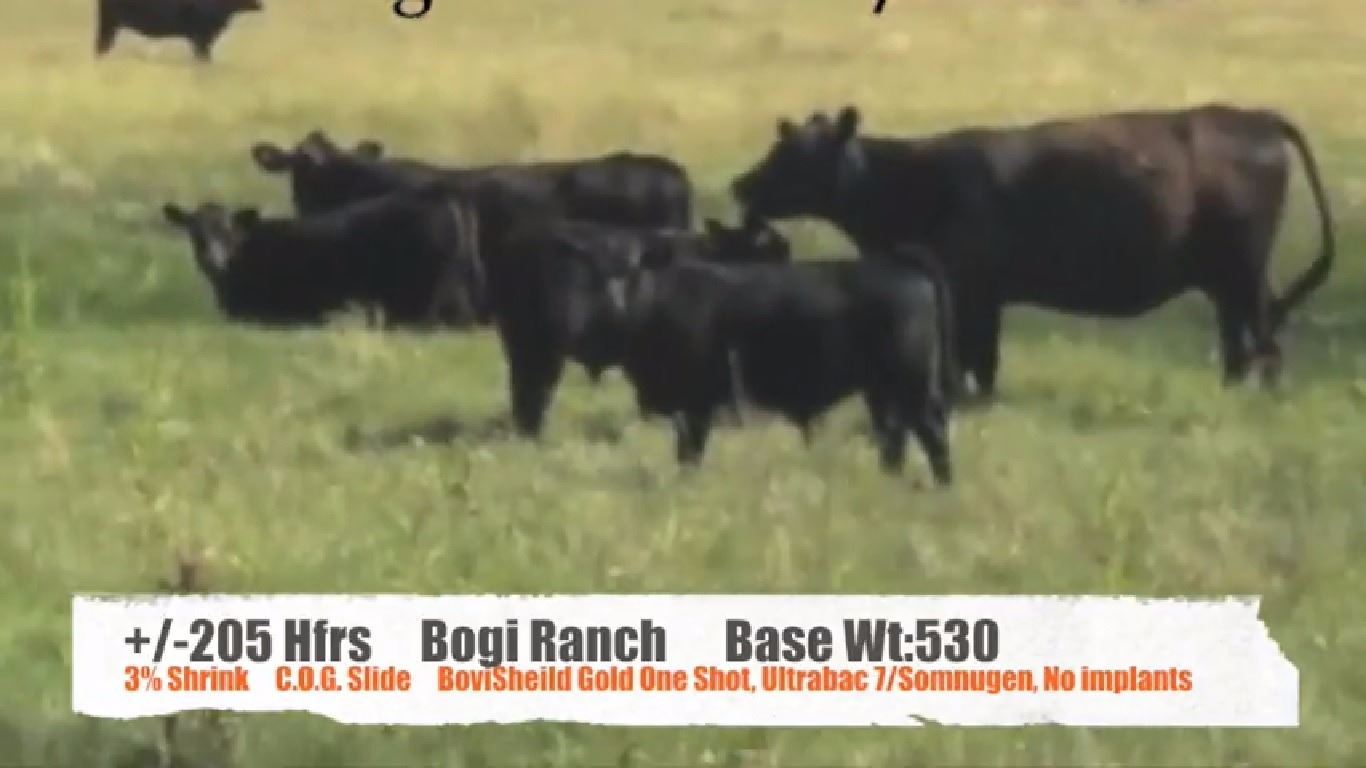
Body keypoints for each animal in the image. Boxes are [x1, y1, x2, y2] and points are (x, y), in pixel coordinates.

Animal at [617, 242, 956, 483]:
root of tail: (898, 264)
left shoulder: (696, 406)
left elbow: (690, 452)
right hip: (881, 390)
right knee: (894, 434)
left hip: (910, 384)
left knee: (930, 431)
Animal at [731, 103, 1335, 398]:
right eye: (780, 144)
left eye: (797, 154)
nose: (740, 184)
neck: (911, 181)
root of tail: (1252, 117)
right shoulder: (978, 295)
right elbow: (981, 361)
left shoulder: (969, 289)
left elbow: (971, 359)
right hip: (1227, 279)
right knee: (1241, 338)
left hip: (1244, 271)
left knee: (1263, 337)